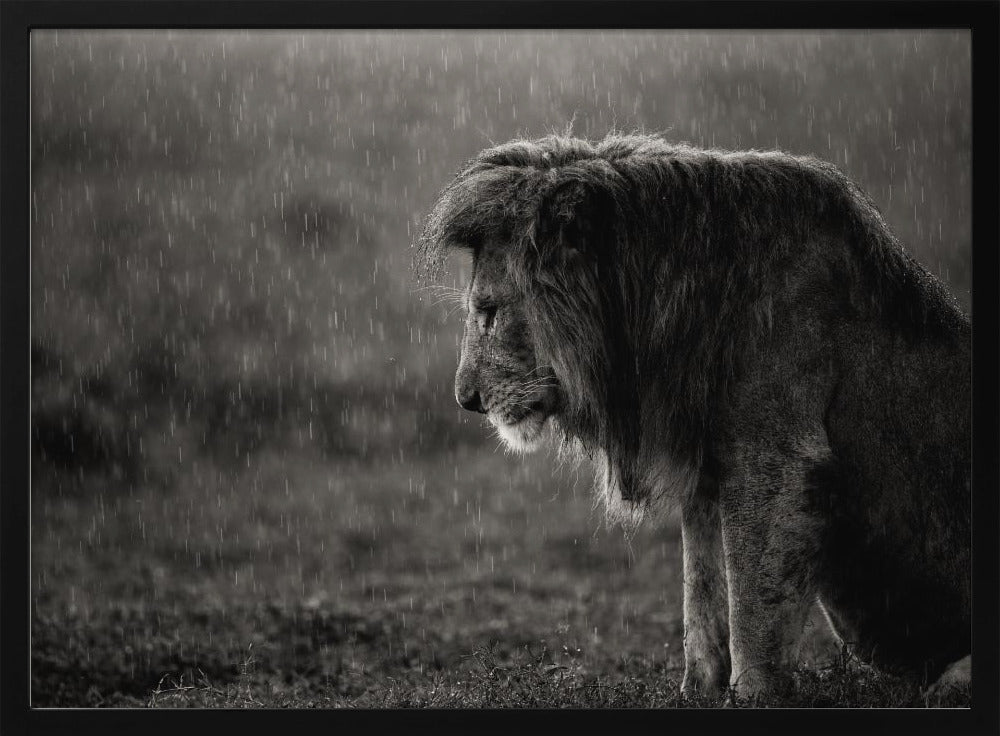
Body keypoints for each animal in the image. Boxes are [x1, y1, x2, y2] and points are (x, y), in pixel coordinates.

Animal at [417, 133, 971, 701]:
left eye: (488, 312)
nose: (466, 399)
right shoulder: (706, 465)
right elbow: (702, 591)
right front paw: (695, 692)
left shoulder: (776, 461)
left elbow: (751, 606)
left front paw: (752, 696)